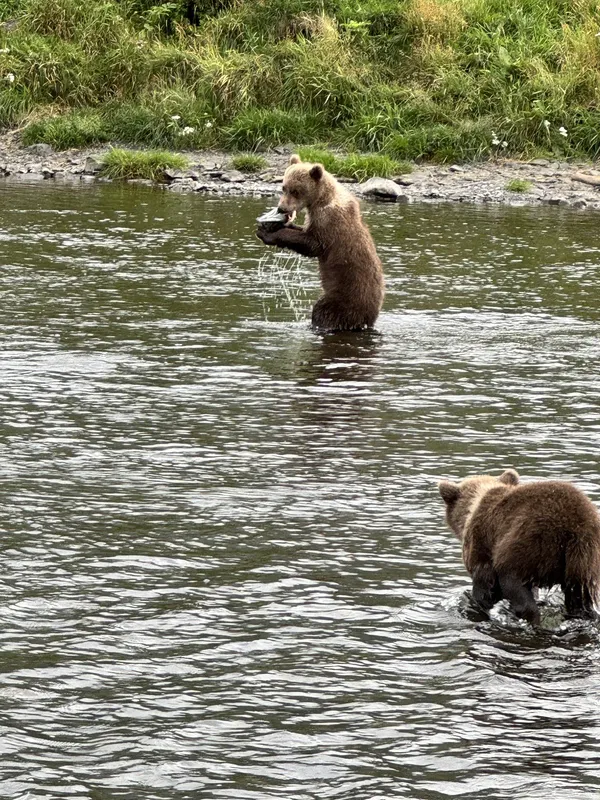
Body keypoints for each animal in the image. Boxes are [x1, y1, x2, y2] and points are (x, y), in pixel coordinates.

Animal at [256, 155, 385, 332]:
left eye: (295, 190)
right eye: (283, 187)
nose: (281, 208)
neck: (320, 200)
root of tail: (370, 318)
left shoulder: (329, 221)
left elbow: (312, 244)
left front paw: (268, 233)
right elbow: (302, 231)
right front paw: (271, 225)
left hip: (346, 296)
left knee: (324, 311)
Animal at [438, 469, 600, 625]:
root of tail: (575, 529)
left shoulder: (481, 544)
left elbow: (483, 584)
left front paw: (479, 603)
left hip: (528, 543)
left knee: (513, 582)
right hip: (583, 562)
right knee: (579, 600)